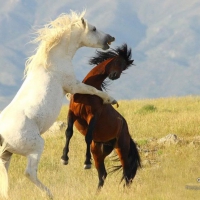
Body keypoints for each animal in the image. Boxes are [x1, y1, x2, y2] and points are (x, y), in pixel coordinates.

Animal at [0, 10, 115, 198]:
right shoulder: (73, 85)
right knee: (29, 173)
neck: (52, 62)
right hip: (36, 147)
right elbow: (91, 89)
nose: (110, 38)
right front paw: (110, 99)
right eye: (94, 28)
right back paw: (49, 194)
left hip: (7, 155)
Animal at [61, 43, 141, 189]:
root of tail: (126, 130)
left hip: (121, 148)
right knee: (103, 174)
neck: (88, 92)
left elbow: (87, 137)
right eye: (119, 61)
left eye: (124, 67)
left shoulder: (93, 116)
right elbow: (68, 132)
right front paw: (64, 158)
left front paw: (86, 163)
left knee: (127, 173)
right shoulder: (72, 113)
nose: (115, 76)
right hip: (99, 150)